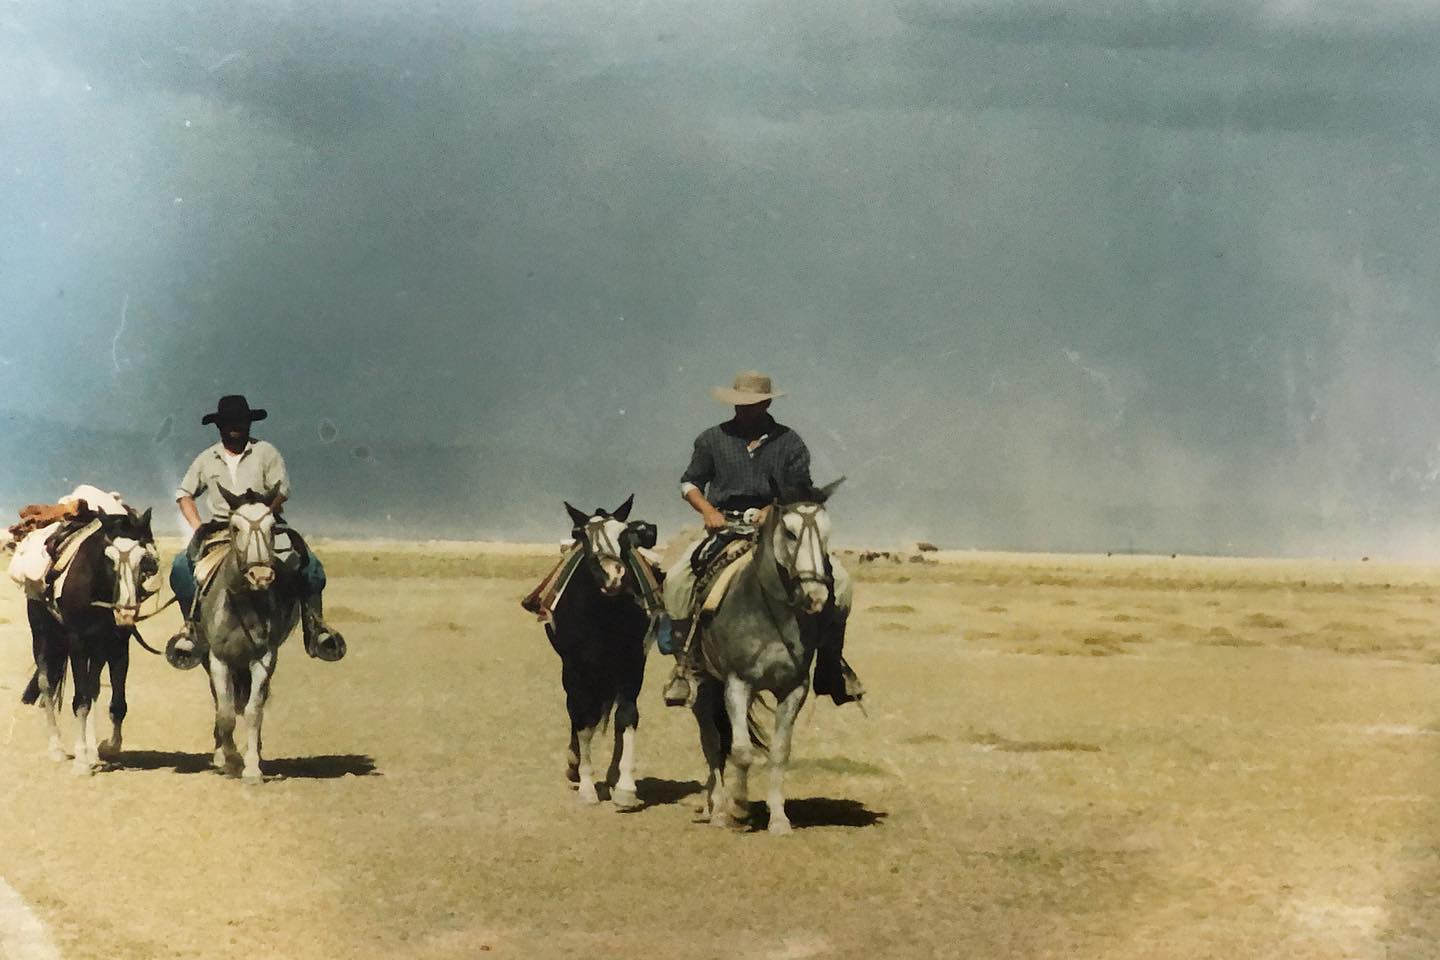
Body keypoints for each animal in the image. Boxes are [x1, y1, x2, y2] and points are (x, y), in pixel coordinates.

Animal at [22, 509, 160, 771]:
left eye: (143, 559)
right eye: (109, 559)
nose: (125, 612)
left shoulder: (118, 644)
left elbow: (117, 703)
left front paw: (107, 747)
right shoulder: (78, 643)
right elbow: (81, 701)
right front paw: (81, 761)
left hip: (97, 649)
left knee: (93, 686)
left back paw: (93, 750)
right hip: (43, 633)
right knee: (47, 684)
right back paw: (57, 748)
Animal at [195, 489, 302, 782]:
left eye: (272, 528)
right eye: (235, 527)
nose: (261, 575)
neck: (242, 605)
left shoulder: (264, 658)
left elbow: (254, 711)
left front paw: (253, 766)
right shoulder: (218, 659)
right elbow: (225, 712)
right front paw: (230, 759)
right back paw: (221, 754)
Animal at [547, 495, 656, 811]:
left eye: (625, 535)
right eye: (582, 535)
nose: (613, 577)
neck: (603, 615)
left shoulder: (633, 663)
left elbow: (627, 716)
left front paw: (626, 788)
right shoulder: (576, 667)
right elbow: (583, 719)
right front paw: (585, 785)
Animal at [688, 480, 840, 834]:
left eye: (827, 533)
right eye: (790, 532)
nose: (816, 596)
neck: (772, 614)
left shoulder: (794, 689)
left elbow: (780, 752)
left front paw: (779, 818)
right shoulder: (737, 683)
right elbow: (741, 751)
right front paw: (739, 808)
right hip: (705, 684)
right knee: (712, 742)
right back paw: (717, 809)